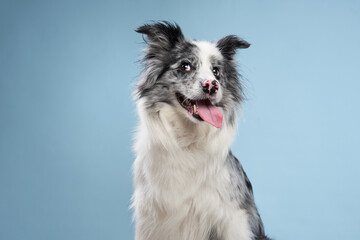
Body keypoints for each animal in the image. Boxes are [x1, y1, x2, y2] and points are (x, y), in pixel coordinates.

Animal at [131, 21, 268, 239]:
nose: (212, 85)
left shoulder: (232, 218)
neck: (188, 140)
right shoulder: (152, 220)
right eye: (185, 66)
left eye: (216, 71)